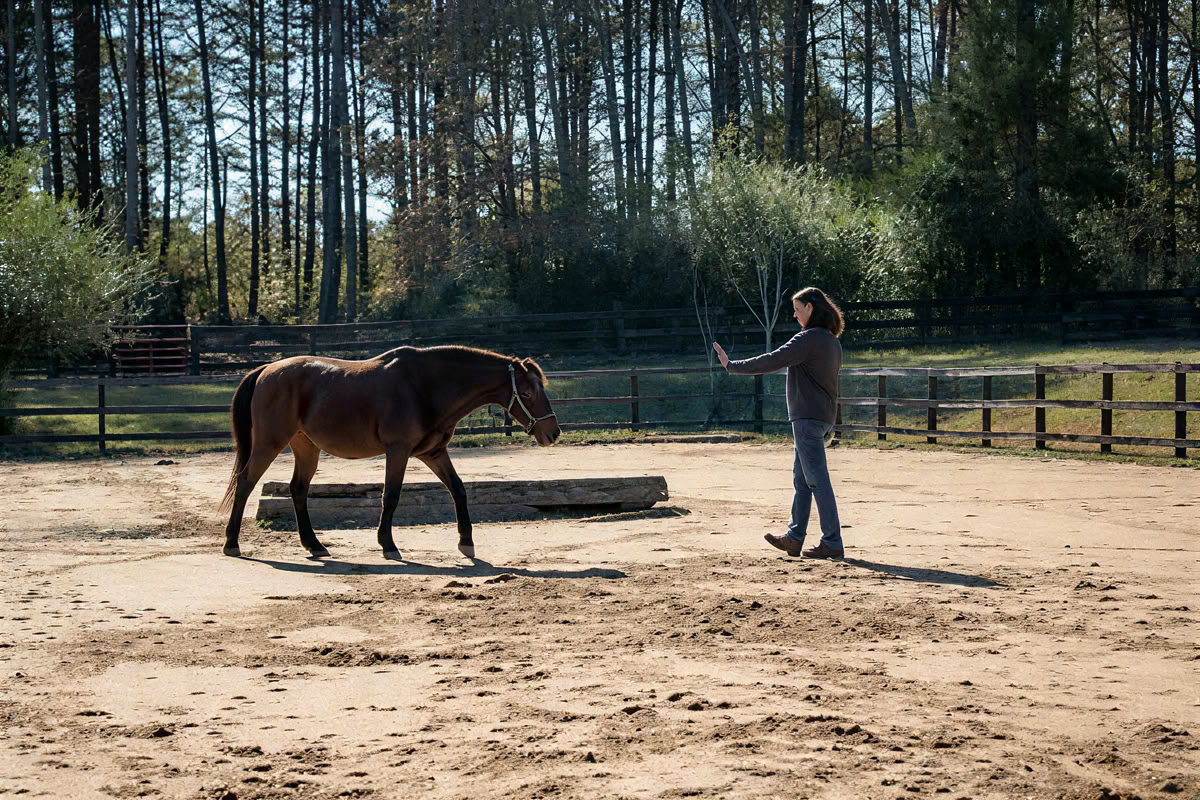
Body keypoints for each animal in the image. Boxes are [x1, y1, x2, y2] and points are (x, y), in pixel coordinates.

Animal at [217, 345, 561, 561]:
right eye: (527, 393)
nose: (553, 433)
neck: (426, 386)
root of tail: (267, 369)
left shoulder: (434, 453)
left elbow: (458, 490)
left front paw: (466, 542)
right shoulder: (398, 451)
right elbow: (391, 496)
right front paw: (388, 545)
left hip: (306, 446)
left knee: (298, 489)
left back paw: (314, 545)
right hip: (269, 443)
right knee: (246, 482)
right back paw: (232, 543)